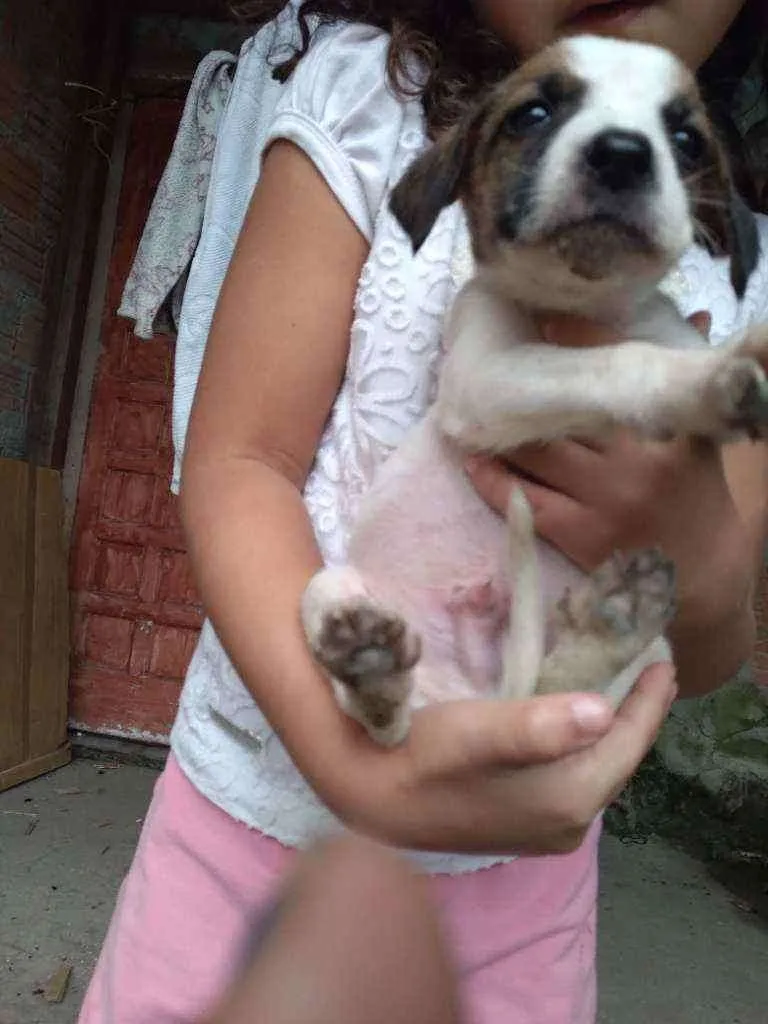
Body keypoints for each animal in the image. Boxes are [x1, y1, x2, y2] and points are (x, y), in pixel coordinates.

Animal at [301, 34, 768, 747]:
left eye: (686, 138)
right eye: (534, 114)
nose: (623, 153)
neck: (588, 305)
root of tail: (477, 690)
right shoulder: (483, 377)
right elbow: (613, 365)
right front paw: (696, 384)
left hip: (651, 657)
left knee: (561, 686)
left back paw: (608, 623)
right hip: (328, 592)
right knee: (389, 727)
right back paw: (373, 670)